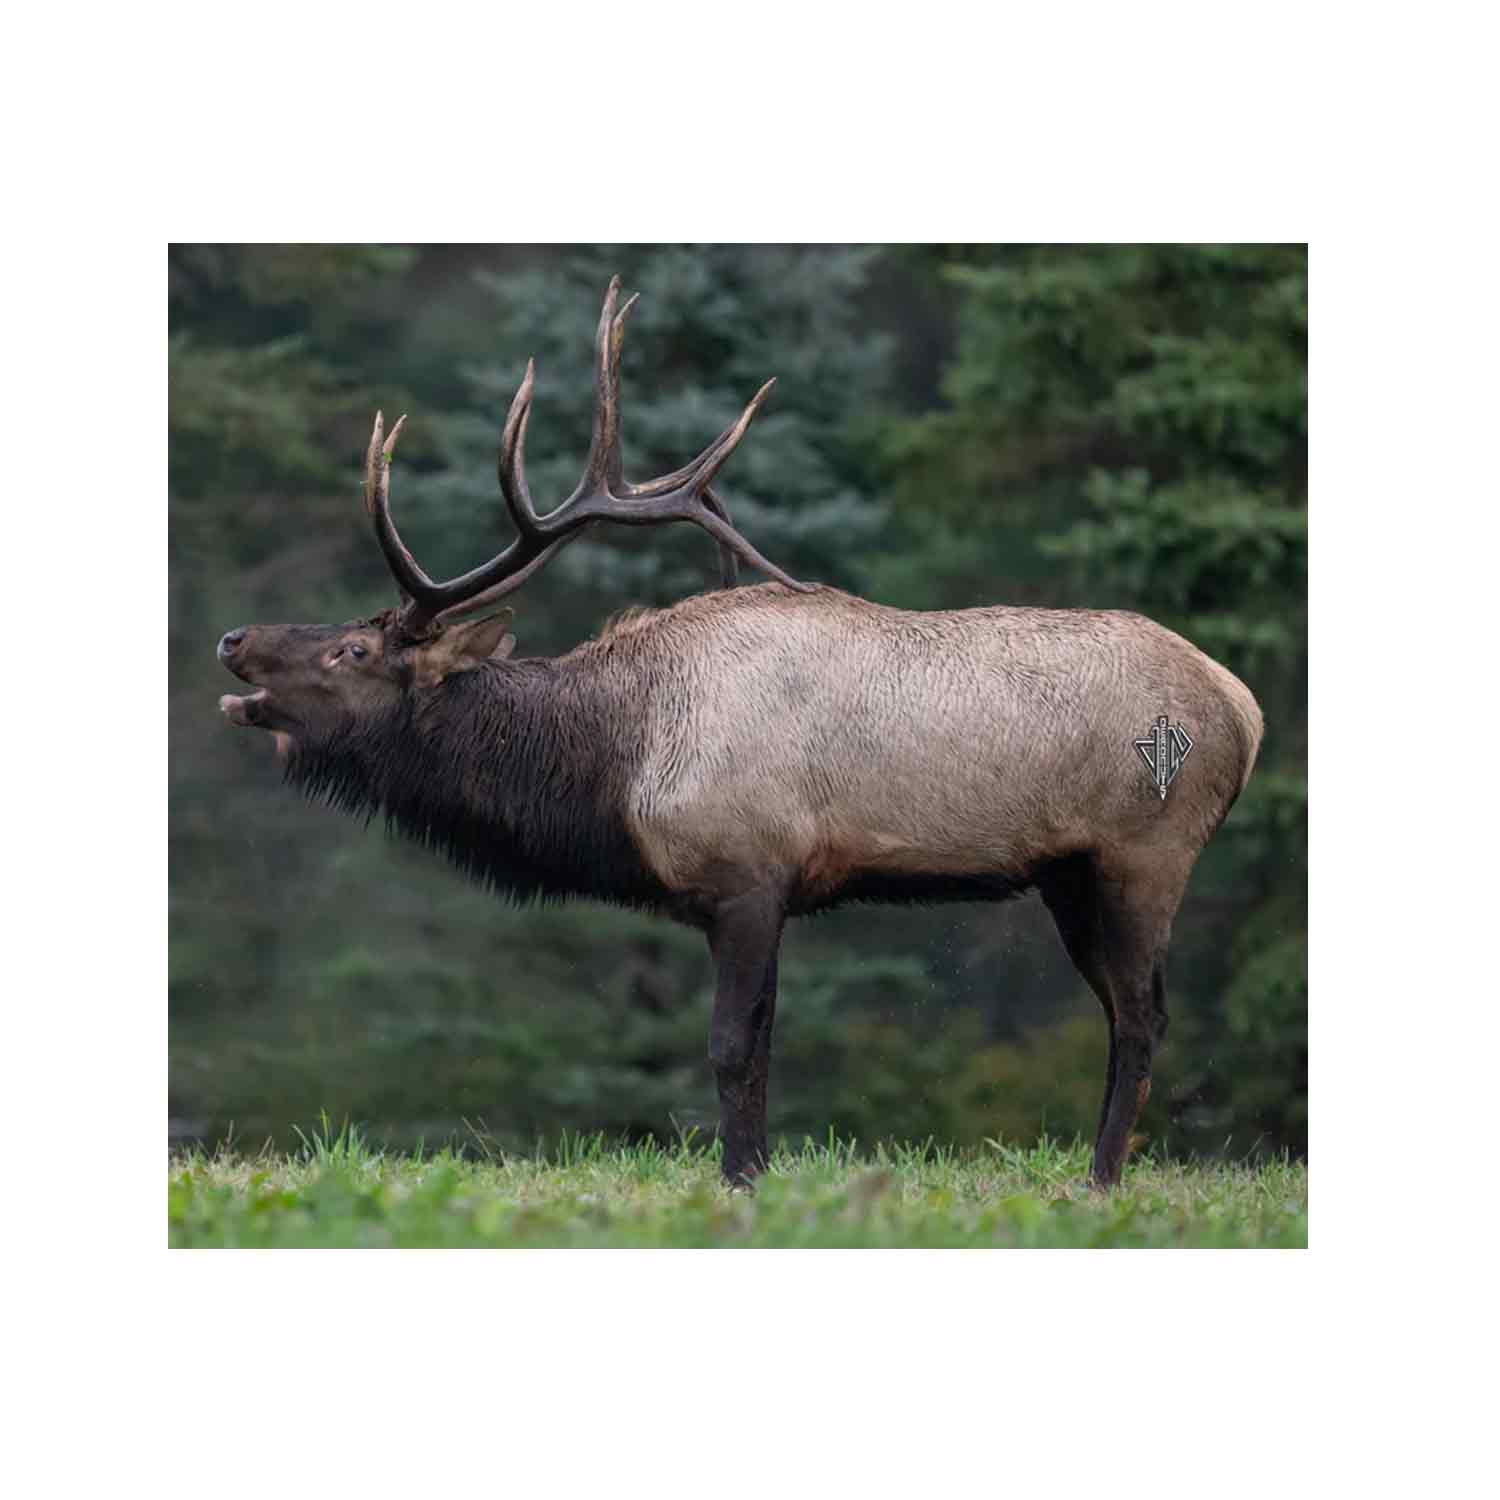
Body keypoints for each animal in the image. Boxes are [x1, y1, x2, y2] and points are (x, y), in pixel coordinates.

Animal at [216, 277, 1263, 1188]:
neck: (618, 764)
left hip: (1144, 852)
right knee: (1124, 1011)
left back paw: (1100, 1178)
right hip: (1069, 875)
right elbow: (761, 1043)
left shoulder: (748, 874)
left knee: (1143, 1017)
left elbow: (729, 1047)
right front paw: (756, 1170)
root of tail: (1244, 707)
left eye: (353, 649)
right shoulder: (769, 892)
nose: (233, 639)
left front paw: (739, 1179)